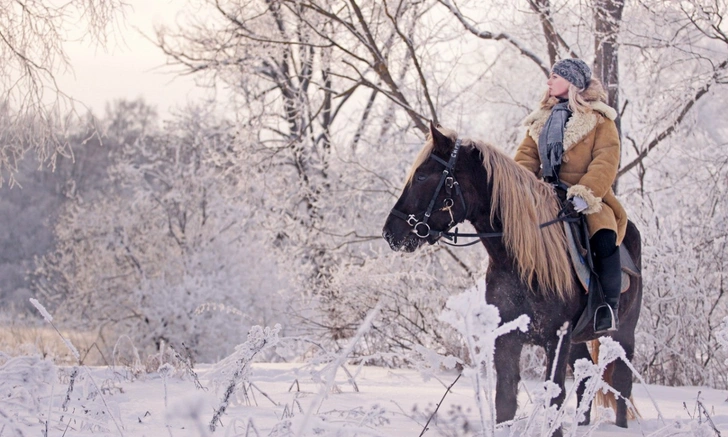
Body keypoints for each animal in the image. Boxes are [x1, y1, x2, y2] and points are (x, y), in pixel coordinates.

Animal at [382, 122, 644, 432]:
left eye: (422, 176)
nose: (390, 232)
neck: (521, 263)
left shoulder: (556, 339)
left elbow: (554, 398)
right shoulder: (507, 340)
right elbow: (505, 400)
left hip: (624, 331)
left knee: (622, 384)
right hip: (577, 340)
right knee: (586, 380)